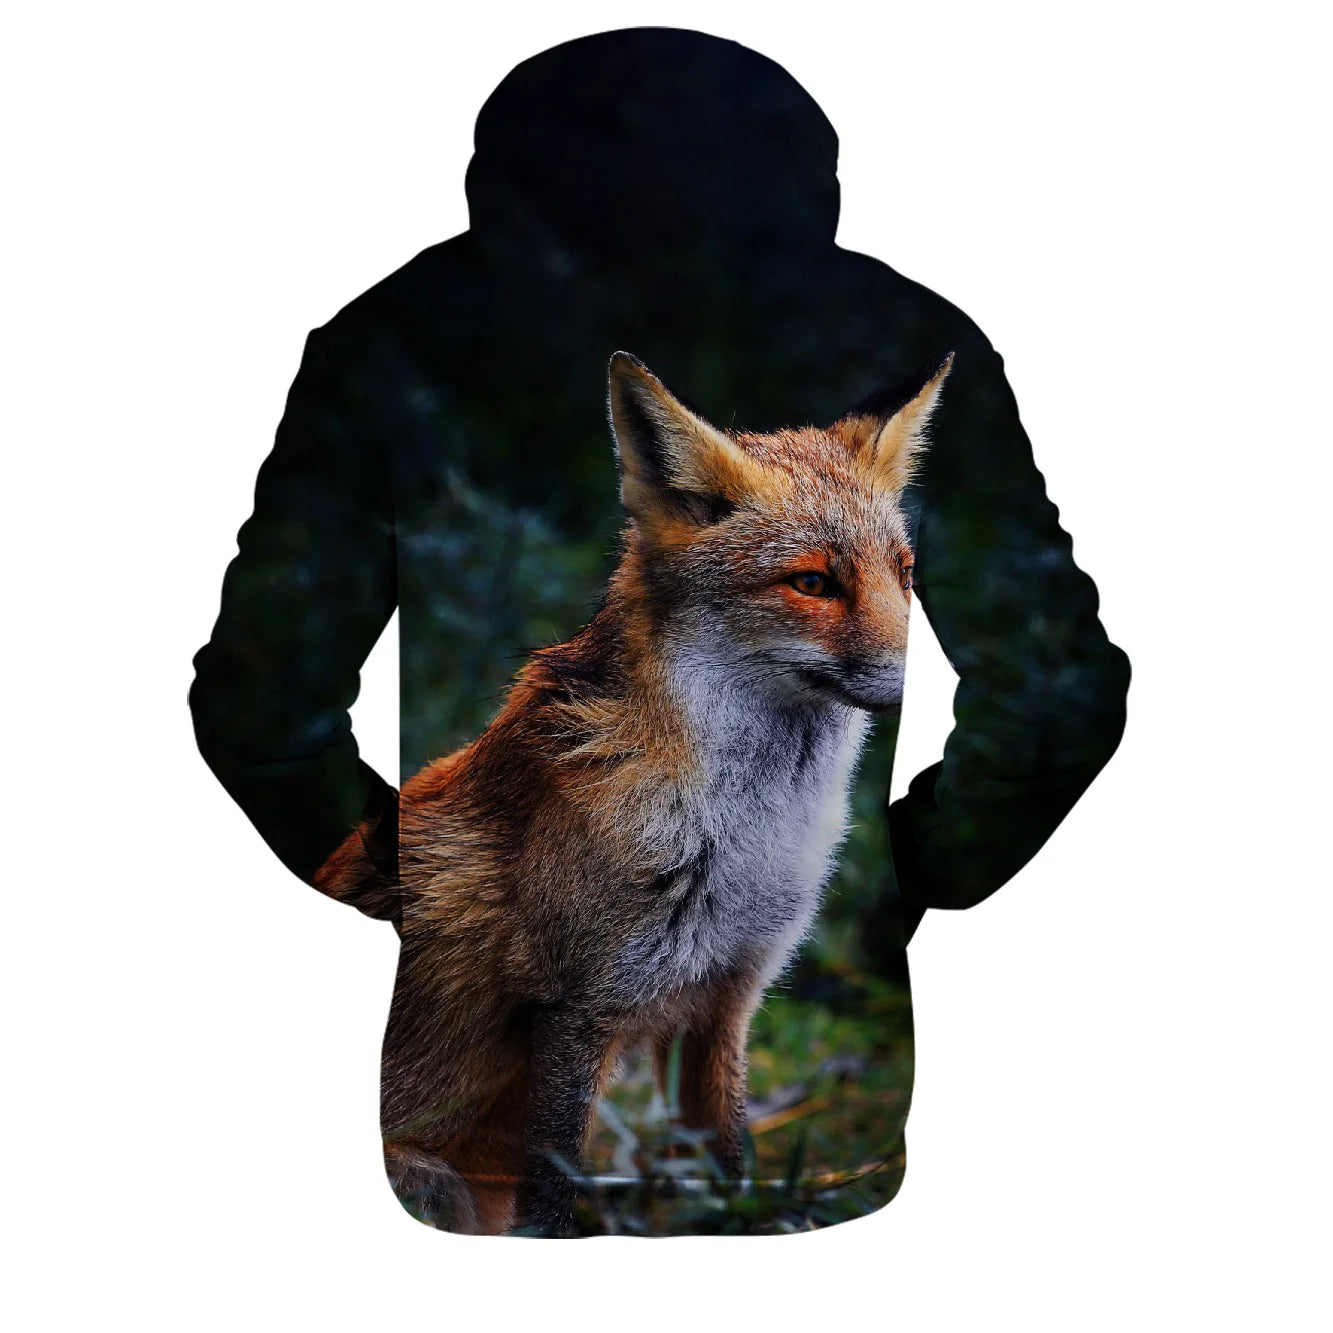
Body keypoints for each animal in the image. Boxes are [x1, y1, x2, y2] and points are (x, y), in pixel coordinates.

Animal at [314, 348, 954, 1235]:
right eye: (813, 583)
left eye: (905, 573)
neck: (745, 838)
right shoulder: (575, 1009)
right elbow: (552, 1200)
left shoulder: (723, 1002)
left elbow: (729, 1174)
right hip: (433, 1182)